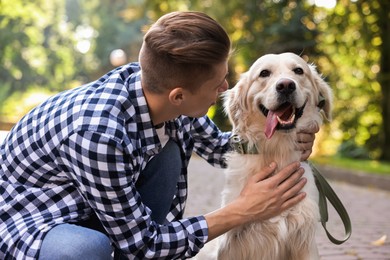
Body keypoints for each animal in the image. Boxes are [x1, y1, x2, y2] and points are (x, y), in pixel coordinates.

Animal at [218, 52, 330, 260]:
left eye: (298, 71)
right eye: (264, 73)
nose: (286, 85)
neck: (277, 149)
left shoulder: (304, 239)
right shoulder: (231, 243)